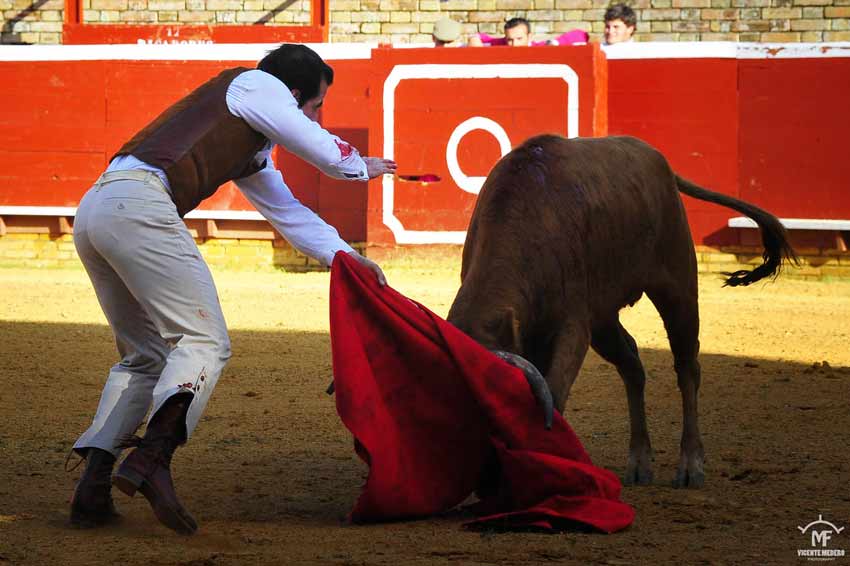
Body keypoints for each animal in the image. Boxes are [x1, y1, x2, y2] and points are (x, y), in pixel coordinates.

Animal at [448, 134, 792, 488]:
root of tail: (659, 160)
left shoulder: (572, 326)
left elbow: (554, 394)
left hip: (677, 290)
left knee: (687, 368)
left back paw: (690, 465)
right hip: (603, 319)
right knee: (632, 365)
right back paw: (639, 463)